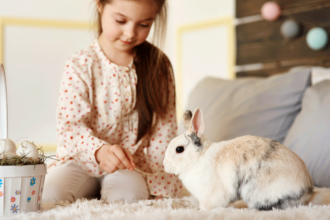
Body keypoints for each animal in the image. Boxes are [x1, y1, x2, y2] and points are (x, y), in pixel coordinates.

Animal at [164, 109, 316, 211]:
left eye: (179, 149)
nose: (165, 166)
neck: (199, 158)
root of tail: (308, 190)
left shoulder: (212, 195)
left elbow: (207, 206)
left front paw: (197, 210)